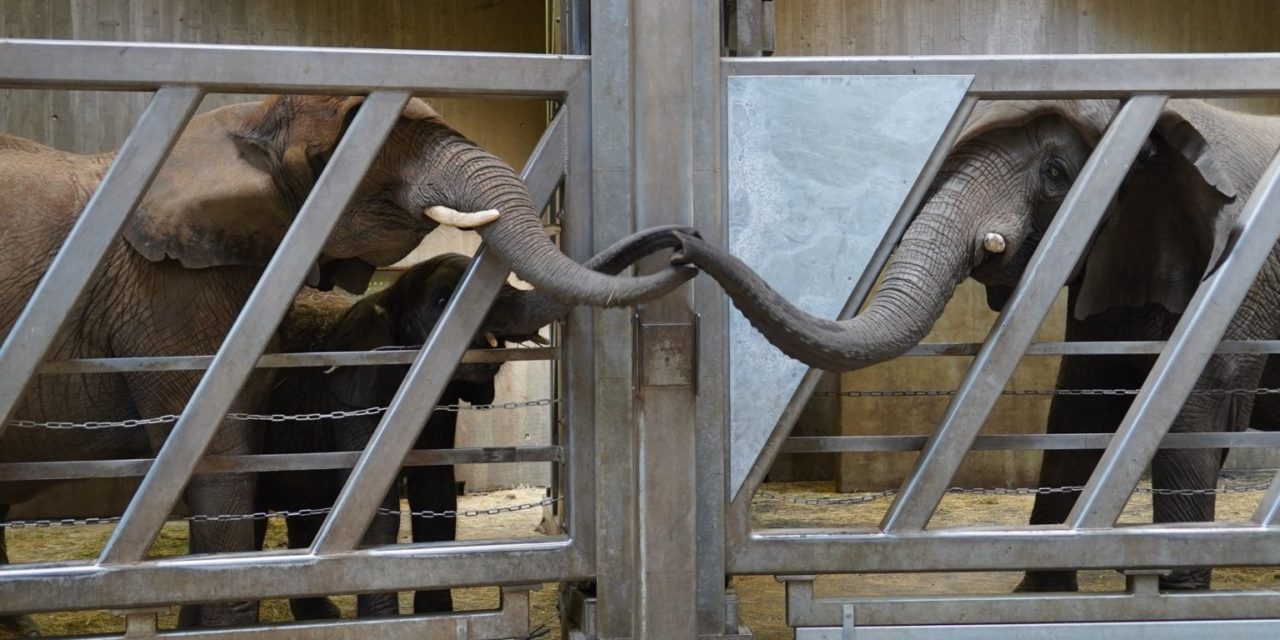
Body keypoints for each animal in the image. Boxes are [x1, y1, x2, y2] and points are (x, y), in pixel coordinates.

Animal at [256, 226, 696, 619]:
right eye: (442, 301)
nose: (683, 245)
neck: (386, 296)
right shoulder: (356, 396)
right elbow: (376, 511)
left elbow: (436, 495)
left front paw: (434, 617)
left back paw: (319, 614)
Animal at [665, 97, 1280, 591]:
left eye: (1057, 172)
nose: (678, 243)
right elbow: (1079, 405)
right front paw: (1040, 597)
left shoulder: (1232, 282)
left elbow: (1193, 410)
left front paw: (1176, 594)